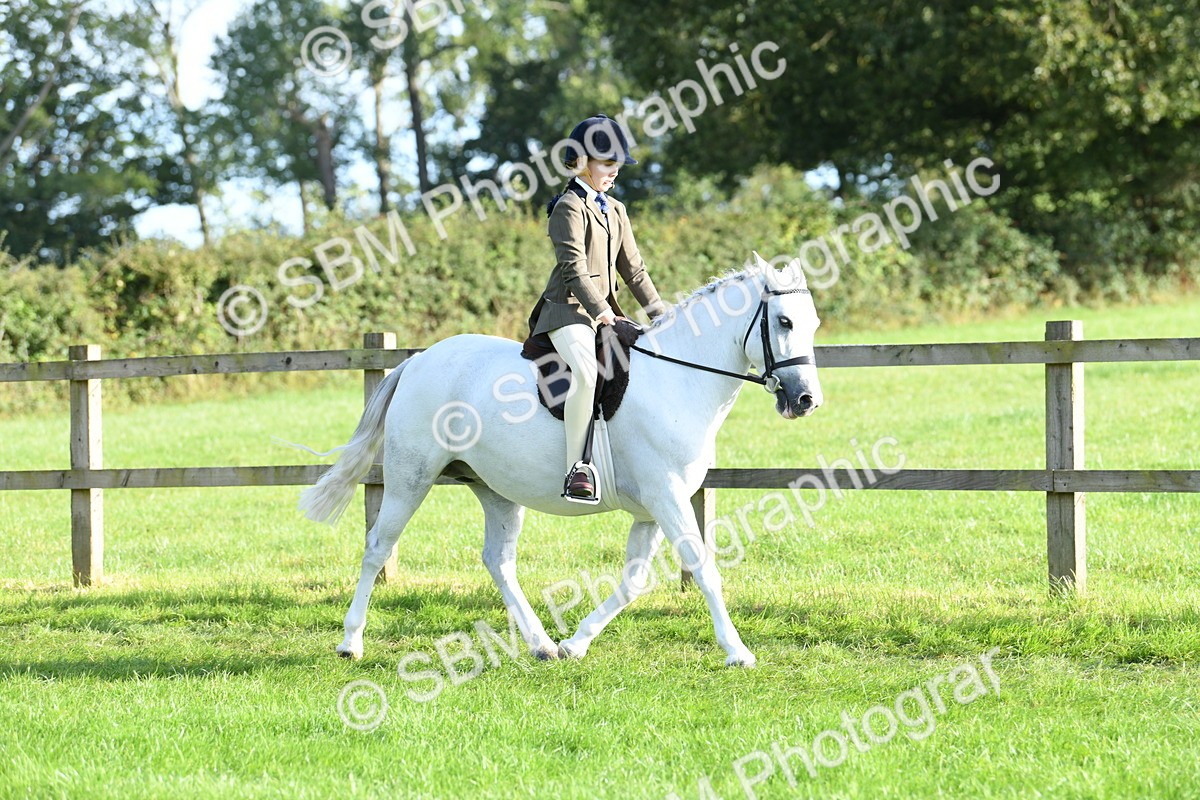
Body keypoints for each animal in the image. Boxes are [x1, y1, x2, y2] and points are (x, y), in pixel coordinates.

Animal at [299, 253, 823, 667]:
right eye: (784, 323)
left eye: (812, 325)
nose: (806, 400)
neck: (678, 378)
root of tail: (418, 360)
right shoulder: (667, 497)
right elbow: (702, 566)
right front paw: (737, 651)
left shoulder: (651, 509)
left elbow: (633, 582)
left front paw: (576, 643)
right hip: (412, 476)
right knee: (377, 547)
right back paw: (350, 643)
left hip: (496, 489)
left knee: (499, 560)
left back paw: (542, 645)